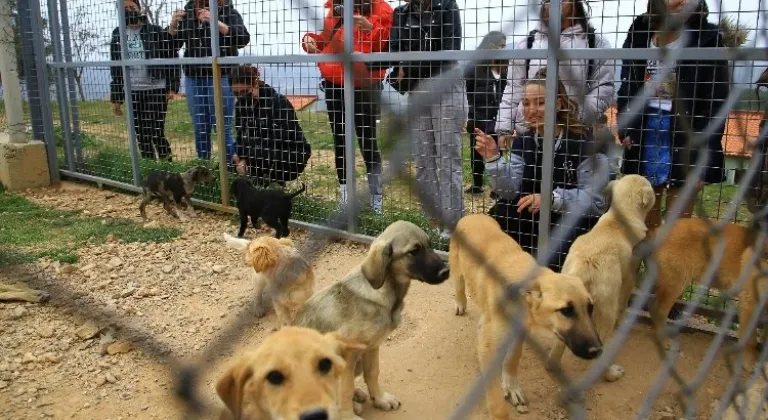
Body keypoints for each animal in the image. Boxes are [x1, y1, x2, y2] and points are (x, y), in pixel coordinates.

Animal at [292, 221, 450, 418]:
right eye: (414, 251)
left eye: (430, 244)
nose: (446, 272)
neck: (388, 292)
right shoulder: (347, 356)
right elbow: (345, 390)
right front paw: (349, 416)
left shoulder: (372, 347)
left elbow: (373, 373)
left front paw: (380, 399)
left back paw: (357, 395)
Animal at [452, 215, 604, 418]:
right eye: (566, 310)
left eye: (590, 308)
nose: (597, 351)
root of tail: (472, 215)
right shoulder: (489, 344)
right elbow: (496, 401)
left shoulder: (520, 331)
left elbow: (513, 358)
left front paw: (511, 386)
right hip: (456, 268)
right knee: (459, 285)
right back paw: (460, 303)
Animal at [544, 174, 656, 380]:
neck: (619, 218)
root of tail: (583, 268)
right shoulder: (630, 273)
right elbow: (624, 303)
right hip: (606, 308)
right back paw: (611, 373)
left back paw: (552, 365)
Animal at [648, 218, 768, 366]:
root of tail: (659, 228)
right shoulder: (750, 303)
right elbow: (750, 340)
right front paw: (749, 363)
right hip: (677, 283)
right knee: (658, 309)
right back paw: (663, 339)